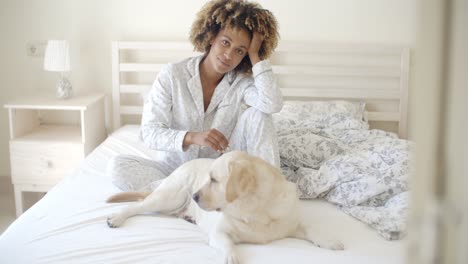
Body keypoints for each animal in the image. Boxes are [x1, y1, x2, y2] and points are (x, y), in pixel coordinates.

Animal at [105, 151, 344, 264]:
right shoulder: (220, 232)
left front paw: (330, 241)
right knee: (136, 206)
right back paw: (116, 218)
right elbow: (228, 243)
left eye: (213, 179)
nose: (195, 196)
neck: (255, 209)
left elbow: (311, 228)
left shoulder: (291, 223)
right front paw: (232, 257)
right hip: (169, 196)